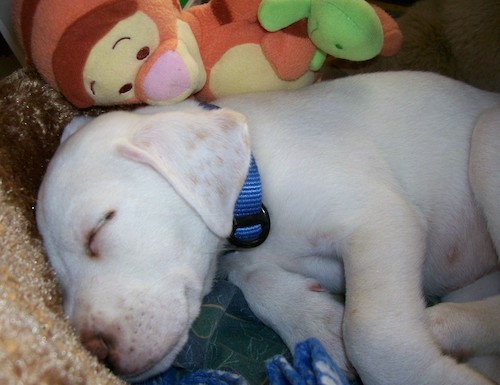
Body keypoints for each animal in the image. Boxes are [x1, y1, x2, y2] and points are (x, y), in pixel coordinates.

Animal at [36, 71, 500, 380]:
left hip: (486, 138)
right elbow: (255, 283)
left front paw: (422, 373)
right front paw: (317, 324)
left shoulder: (381, 216)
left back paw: (439, 327)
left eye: (99, 228)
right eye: (58, 280)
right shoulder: (241, 260)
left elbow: (369, 330)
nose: (97, 354)